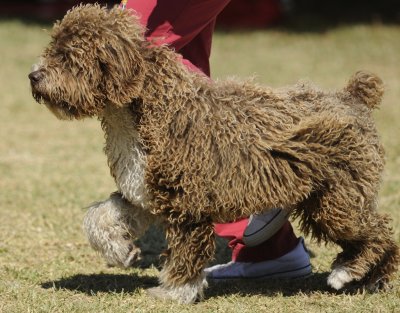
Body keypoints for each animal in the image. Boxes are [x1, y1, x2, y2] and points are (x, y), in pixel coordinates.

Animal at [28, 4, 396, 302]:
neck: (150, 107)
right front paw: (121, 251)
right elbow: (98, 216)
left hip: (337, 199)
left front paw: (174, 292)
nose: (33, 76)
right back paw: (372, 279)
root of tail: (352, 97)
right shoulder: (146, 191)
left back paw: (349, 272)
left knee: (378, 231)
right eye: (53, 47)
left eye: (69, 55)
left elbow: (187, 251)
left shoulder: (186, 202)